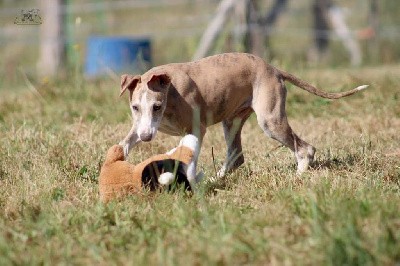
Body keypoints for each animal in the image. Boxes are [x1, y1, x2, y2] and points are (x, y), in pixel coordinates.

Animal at [118, 52, 366, 181]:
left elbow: (189, 154)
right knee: (236, 156)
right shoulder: (139, 126)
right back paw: (216, 178)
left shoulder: (196, 129)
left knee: (305, 148)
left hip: (270, 121)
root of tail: (274, 69)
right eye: (135, 107)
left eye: (157, 106)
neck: (171, 90)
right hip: (232, 121)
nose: (147, 137)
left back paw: (299, 174)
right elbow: (125, 142)